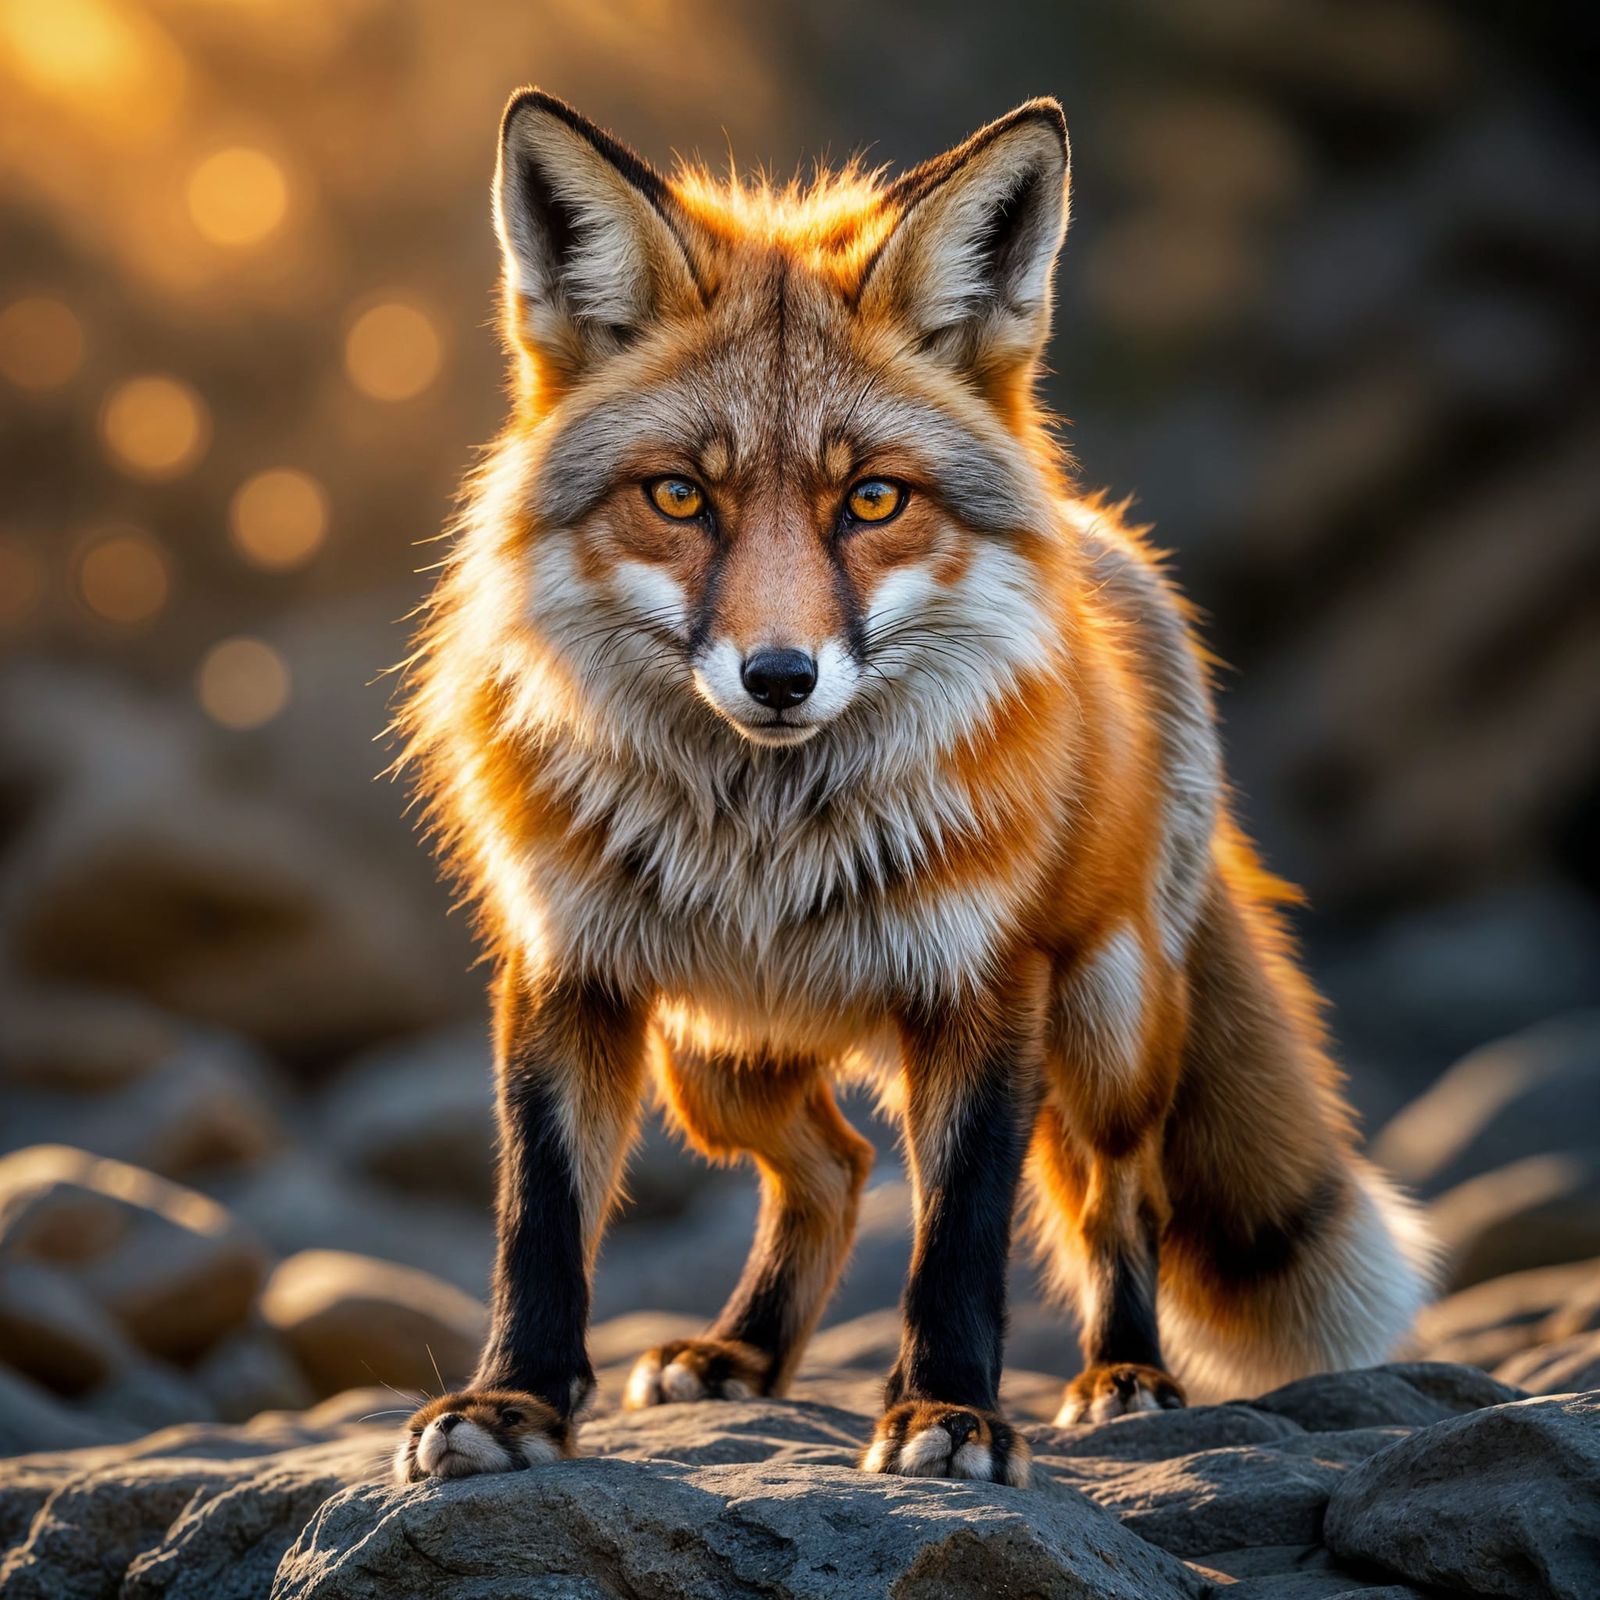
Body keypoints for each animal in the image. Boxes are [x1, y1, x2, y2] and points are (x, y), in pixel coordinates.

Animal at [392, 88, 1434, 1489]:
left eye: (873, 498)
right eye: (680, 495)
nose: (779, 675)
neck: (765, 835)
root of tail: (1102, 539)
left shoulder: (984, 984)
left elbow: (961, 1237)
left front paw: (948, 1409)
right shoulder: (568, 966)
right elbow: (538, 1221)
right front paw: (511, 1401)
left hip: (1106, 1032)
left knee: (1122, 1196)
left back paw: (1124, 1372)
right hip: (714, 1061)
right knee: (833, 1165)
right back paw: (743, 1352)